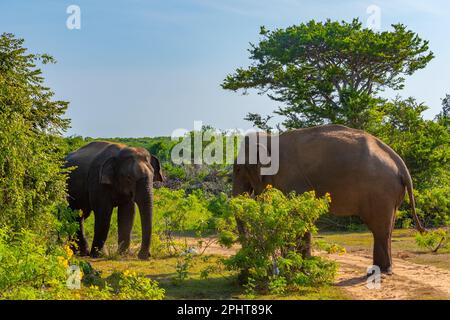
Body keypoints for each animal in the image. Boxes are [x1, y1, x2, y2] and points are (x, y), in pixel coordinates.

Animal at [232, 124, 426, 274]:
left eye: (238, 170)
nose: (247, 268)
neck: (271, 139)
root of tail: (400, 163)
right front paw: (302, 267)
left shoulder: (292, 178)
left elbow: (299, 215)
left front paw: (298, 268)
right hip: (390, 193)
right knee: (386, 228)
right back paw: (379, 270)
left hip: (380, 191)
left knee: (380, 229)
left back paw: (382, 271)